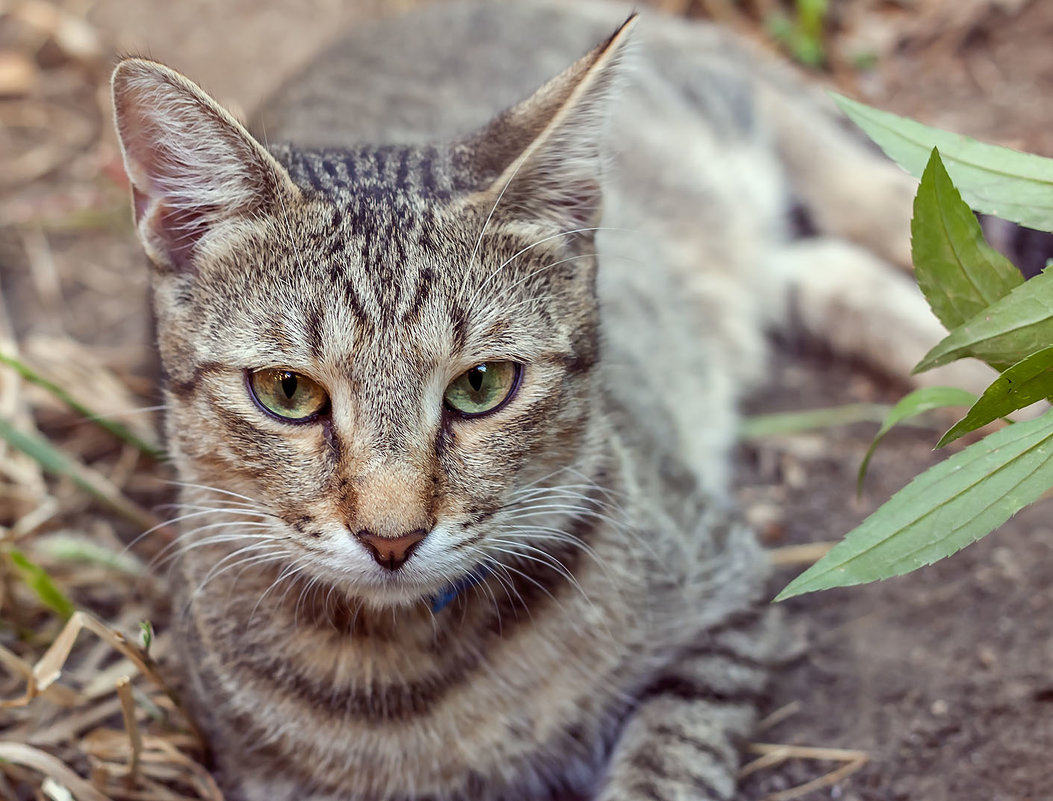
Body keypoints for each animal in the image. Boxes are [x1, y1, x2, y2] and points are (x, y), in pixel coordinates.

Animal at [111, 1, 951, 799]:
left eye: (480, 385)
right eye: (287, 391)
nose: (392, 537)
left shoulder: (725, 598)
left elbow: (669, 760)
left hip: (707, 104)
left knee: (795, 124)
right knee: (821, 268)